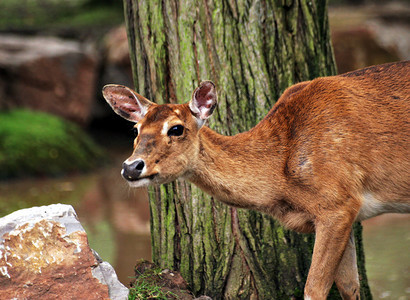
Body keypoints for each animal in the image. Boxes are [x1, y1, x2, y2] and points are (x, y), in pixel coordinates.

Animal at [102, 61, 410, 300]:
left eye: (176, 129)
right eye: (136, 129)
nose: (131, 167)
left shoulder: (338, 202)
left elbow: (314, 289)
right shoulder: (346, 210)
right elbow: (349, 286)